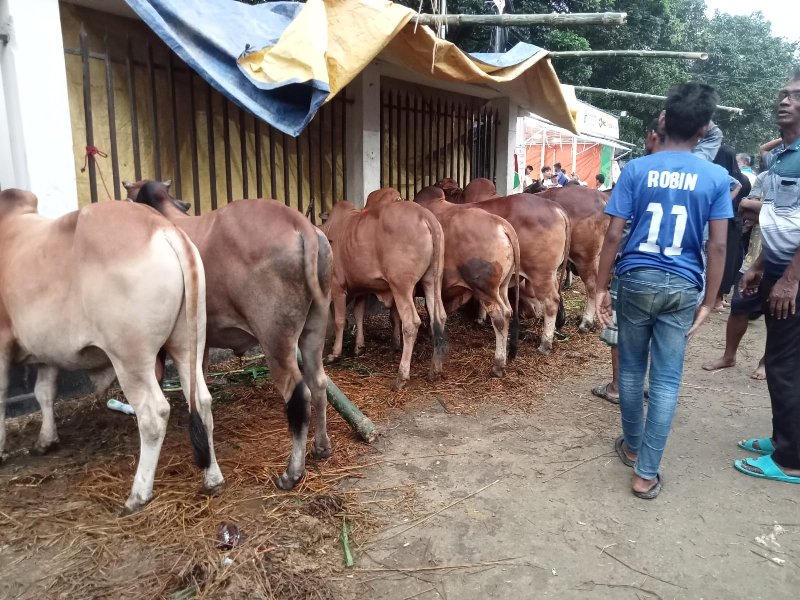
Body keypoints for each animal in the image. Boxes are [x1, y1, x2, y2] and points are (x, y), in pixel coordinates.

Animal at [0, 190, 222, 512]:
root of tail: (162, 227)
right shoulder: (48, 351)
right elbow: (44, 391)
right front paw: (46, 440)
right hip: (187, 342)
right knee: (202, 402)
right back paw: (213, 479)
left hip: (130, 358)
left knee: (153, 414)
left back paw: (138, 494)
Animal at [320, 190, 446, 392]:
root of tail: (425, 216)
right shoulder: (362, 287)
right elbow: (359, 314)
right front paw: (359, 347)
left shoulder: (337, 286)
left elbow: (340, 320)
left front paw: (335, 353)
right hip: (432, 279)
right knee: (439, 316)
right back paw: (435, 369)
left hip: (401, 285)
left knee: (411, 323)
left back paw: (401, 377)